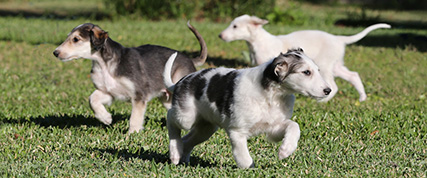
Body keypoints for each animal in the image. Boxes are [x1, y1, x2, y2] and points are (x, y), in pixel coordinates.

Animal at [53, 21, 207, 134]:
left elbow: (135, 118)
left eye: (76, 39)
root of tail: (190, 59)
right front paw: (106, 118)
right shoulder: (109, 92)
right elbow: (92, 100)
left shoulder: (139, 95)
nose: (55, 53)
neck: (105, 65)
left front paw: (132, 135)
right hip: (167, 98)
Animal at [162, 48, 332, 168]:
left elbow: (294, 126)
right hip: (186, 117)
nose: (328, 90)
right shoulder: (237, 131)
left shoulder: (273, 128)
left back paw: (181, 157)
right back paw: (174, 154)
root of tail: (181, 81)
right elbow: (244, 157)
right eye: (306, 72)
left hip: (206, 127)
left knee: (187, 140)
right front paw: (250, 169)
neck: (271, 96)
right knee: (170, 118)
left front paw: (286, 150)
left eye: (317, 70)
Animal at [221, 14, 392, 102]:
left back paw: (321, 101)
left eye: (235, 26)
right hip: (335, 65)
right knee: (353, 75)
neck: (259, 41)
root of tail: (339, 39)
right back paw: (362, 97)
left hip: (325, 65)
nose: (220, 36)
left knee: (333, 86)